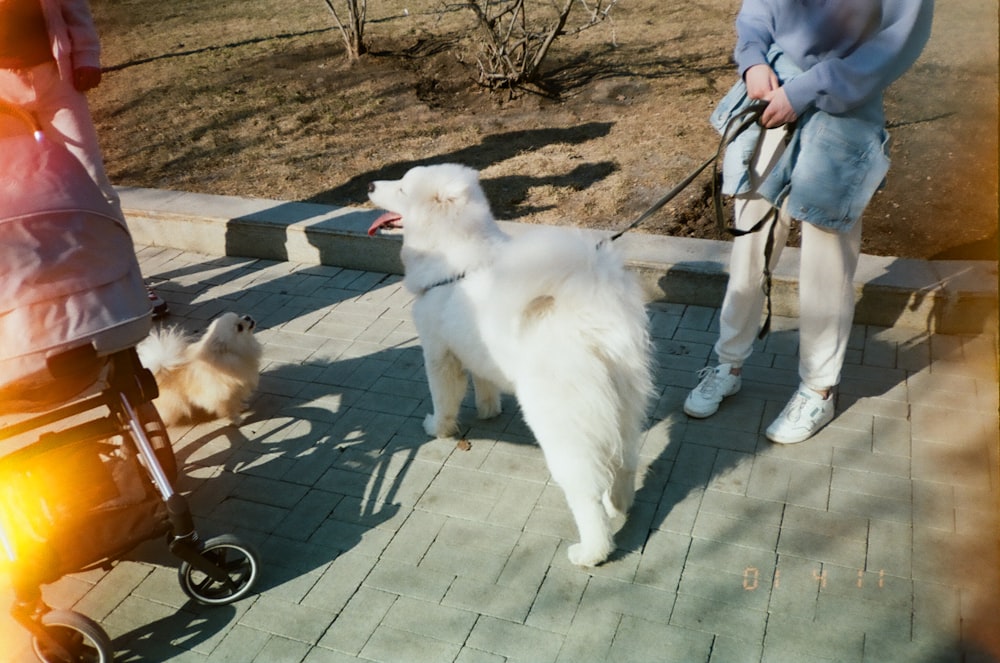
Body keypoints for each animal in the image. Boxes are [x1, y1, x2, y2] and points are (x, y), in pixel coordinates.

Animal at [368, 165, 656, 564]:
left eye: (401, 189)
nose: (369, 184)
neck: (452, 262)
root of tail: (592, 318)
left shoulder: (438, 354)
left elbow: (443, 401)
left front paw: (437, 429)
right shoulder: (473, 352)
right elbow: (484, 384)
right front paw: (488, 410)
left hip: (561, 426)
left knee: (585, 492)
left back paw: (591, 551)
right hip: (625, 409)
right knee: (626, 461)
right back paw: (620, 505)